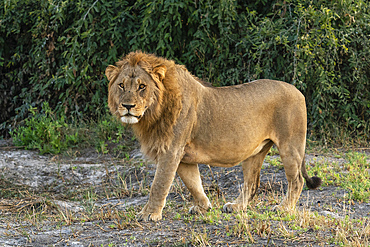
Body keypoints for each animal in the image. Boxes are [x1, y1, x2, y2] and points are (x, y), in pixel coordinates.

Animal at [105, 51, 320, 221]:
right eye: (121, 85)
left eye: (142, 86)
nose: (127, 106)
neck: (153, 113)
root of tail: (297, 90)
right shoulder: (184, 157)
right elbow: (193, 183)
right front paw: (203, 207)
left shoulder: (171, 150)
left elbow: (159, 184)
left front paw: (149, 214)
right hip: (254, 152)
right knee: (251, 183)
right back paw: (236, 207)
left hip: (290, 146)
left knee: (297, 181)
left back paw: (284, 208)